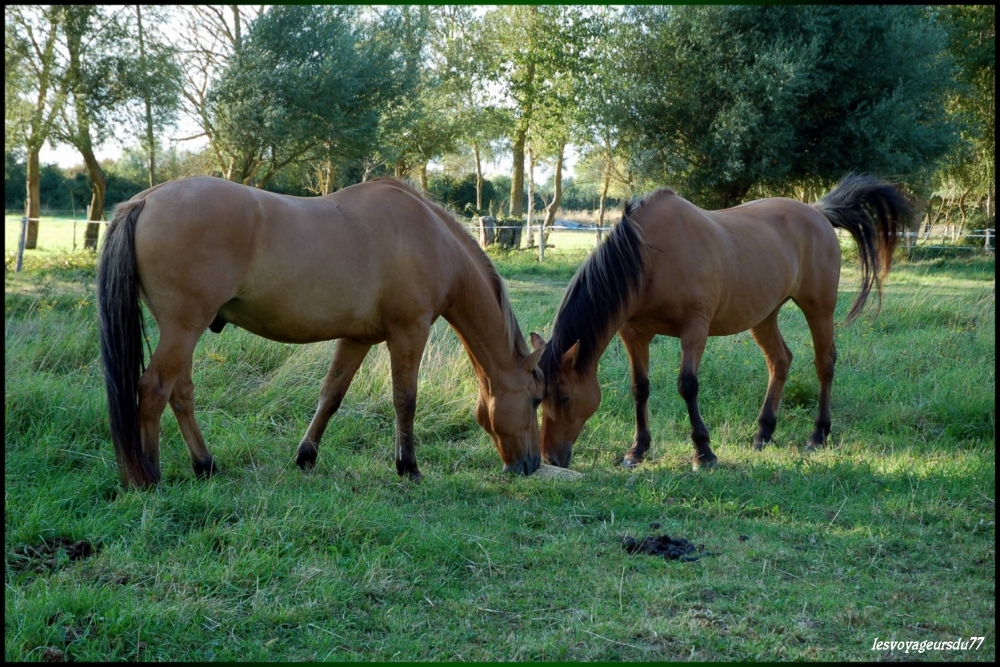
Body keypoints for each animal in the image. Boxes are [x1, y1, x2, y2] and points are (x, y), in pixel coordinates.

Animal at [97, 176, 544, 489]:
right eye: (536, 399)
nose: (531, 465)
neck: (432, 239)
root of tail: (146, 198)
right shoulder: (409, 333)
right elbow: (405, 401)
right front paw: (409, 467)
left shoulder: (357, 338)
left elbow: (331, 395)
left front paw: (306, 457)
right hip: (182, 329)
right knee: (154, 389)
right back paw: (150, 476)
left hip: (183, 332)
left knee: (181, 393)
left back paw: (205, 465)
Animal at [533, 174, 910, 470]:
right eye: (538, 398)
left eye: (564, 397)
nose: (551, 458)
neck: (649, 256)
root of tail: (818, 213)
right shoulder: (634, 333)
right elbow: (640, 388)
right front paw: (637, 450)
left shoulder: (694, 329)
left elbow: (687, 385)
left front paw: (704, 452)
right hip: (764, 316)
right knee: (780, 361)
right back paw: (763, 433)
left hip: (819, 309)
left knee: (824, 363)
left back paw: (817, 435)